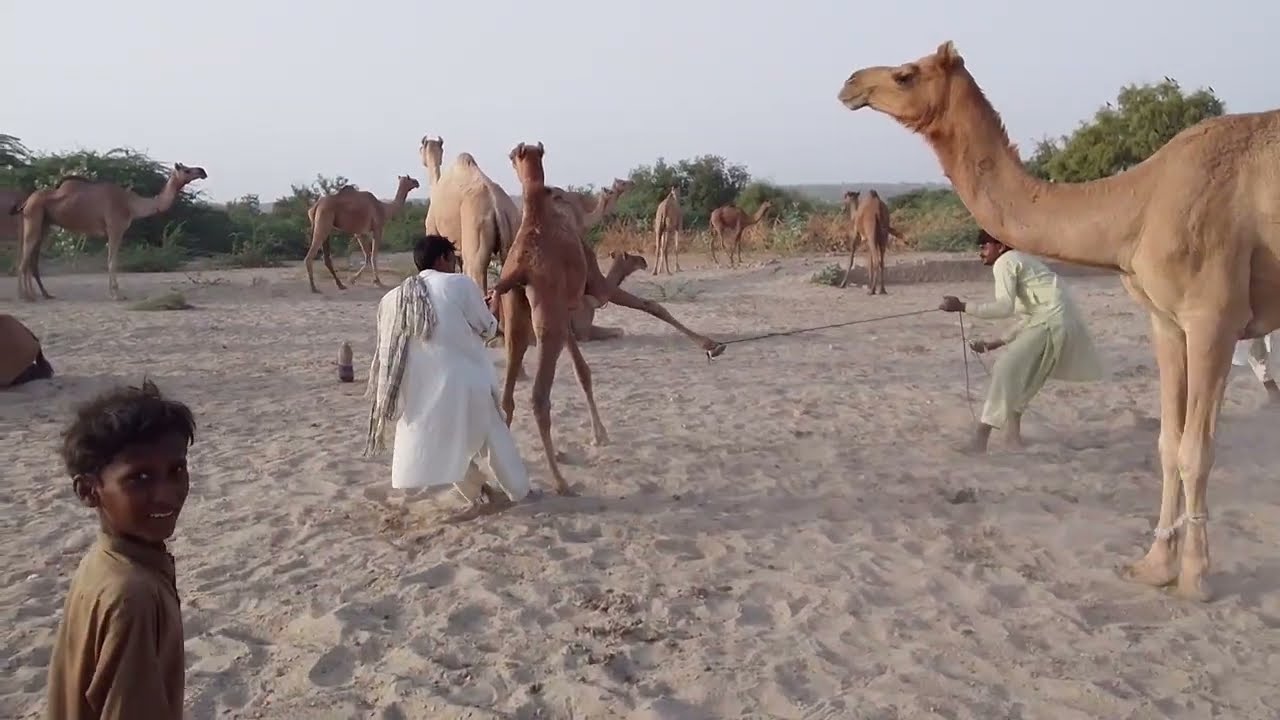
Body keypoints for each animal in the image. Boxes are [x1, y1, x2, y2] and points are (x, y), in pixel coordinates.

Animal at [12, 163, 207, 301]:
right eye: (186, 170)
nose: (202, 171)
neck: (131, 204)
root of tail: (27, 201)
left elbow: (111, 260)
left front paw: (111, 293)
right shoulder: (115, 228)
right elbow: (112, 261)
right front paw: (117, 295)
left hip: (43, 223)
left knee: (31, 258)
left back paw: (41, 294)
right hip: (33, 217)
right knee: (24, 258)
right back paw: (25, 296)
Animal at [418, 136, 521, 294]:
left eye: (420, 149)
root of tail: (497, 206)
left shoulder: (432, 229)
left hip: (476, 230)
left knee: (476, 271)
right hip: (511, 229)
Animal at [490, 141, 610, 495]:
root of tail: (518, 271)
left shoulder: (560, 314)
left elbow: (582, 369)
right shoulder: (568, 307)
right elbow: (583, 370)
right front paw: (600, 435)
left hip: (517, 320)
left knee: (507, 398)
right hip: (545, 320)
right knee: (538, 396)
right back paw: (560, 481)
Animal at [838, 41, 1280, 602]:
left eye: (905, 74)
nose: (850, 83)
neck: (1139, 206)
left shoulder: (1213, 318)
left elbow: (1195, 450)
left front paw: (1196, 578)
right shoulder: (1167, 321)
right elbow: (1166, 443)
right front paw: (1154, 565)